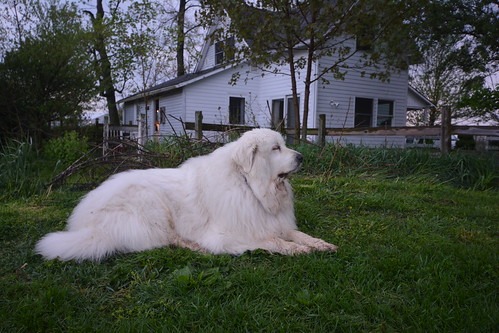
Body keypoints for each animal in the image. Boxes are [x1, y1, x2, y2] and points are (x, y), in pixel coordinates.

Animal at [37, 128, 338, 260]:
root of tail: (85, 224)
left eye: (283, 145)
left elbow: (297, 233)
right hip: (150, 206)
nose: (301, 157)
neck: (251, 187)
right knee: (164, 241)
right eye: (276, 148)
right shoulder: (232, 235)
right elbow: (273, 241)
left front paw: (319, 243)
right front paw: (297, 250)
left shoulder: (273, 222)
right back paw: (194, 246)